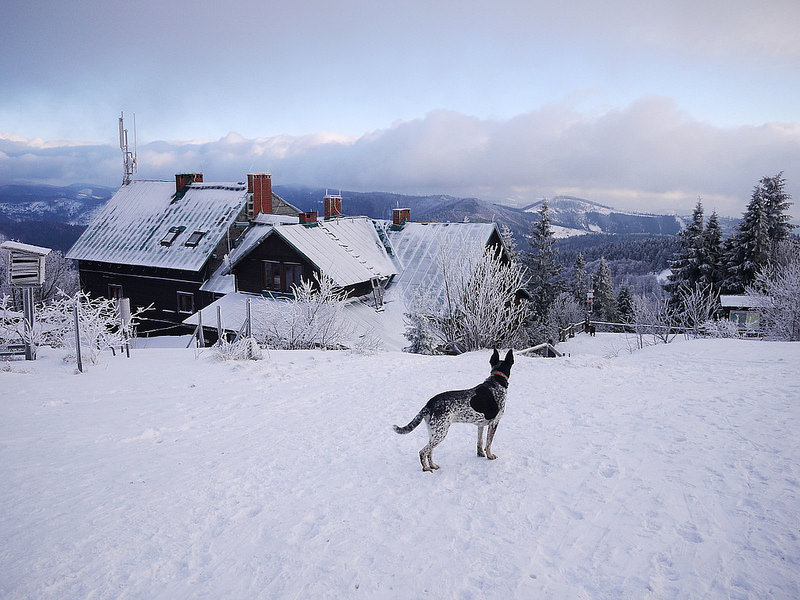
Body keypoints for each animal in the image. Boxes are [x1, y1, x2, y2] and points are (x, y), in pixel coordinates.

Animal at [392, 346, 512, 474]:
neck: (496, 381)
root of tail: (429, 404)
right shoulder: (494, 422)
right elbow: (489, 443)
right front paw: (490, 456)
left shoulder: (481, 424)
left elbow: (480, 442)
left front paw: (480, 454)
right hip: (441, 433)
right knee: (423, 451)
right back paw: (426, 468)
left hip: (433, 432)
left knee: (429, 452)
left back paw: (433, 465)